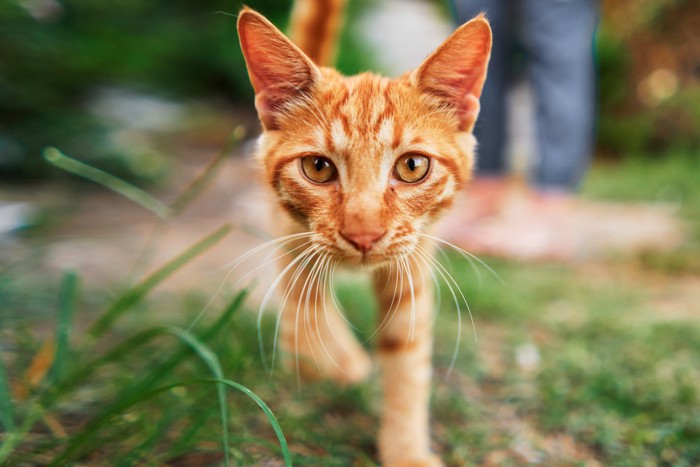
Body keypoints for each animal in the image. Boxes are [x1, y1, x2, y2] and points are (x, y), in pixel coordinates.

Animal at [238, 1, 490, 466]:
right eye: (318, 167)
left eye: (412, 166)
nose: (364, 235)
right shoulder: (295, 244)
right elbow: (305, 313)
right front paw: (322, 361)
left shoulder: (412, 265)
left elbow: (406, 358)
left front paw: (406, 449)